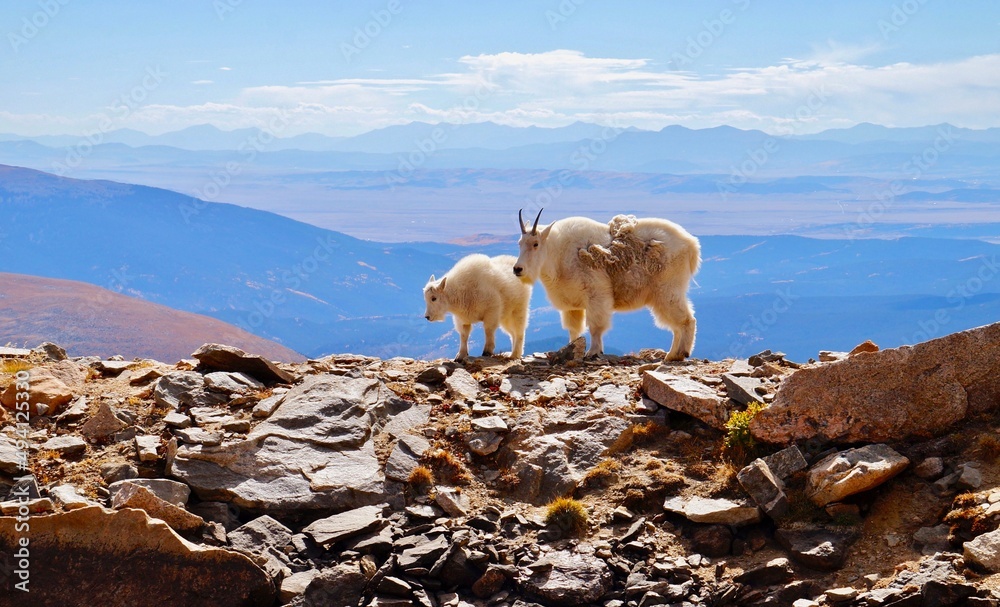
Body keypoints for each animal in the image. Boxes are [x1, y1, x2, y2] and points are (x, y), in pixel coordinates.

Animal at [513, 209, 700, 361]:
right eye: (519, 243)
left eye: (535, 244)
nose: (517, 269)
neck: (557, 255)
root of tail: (692, 245)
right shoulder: (572, 304)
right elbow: (573, 330)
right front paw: (571, 349)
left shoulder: (596, 294)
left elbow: (595, 326)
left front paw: (593, 352)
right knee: (677, 325)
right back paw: (673, 354)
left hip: (667, 290)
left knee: (686, 320)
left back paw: (678, 354)